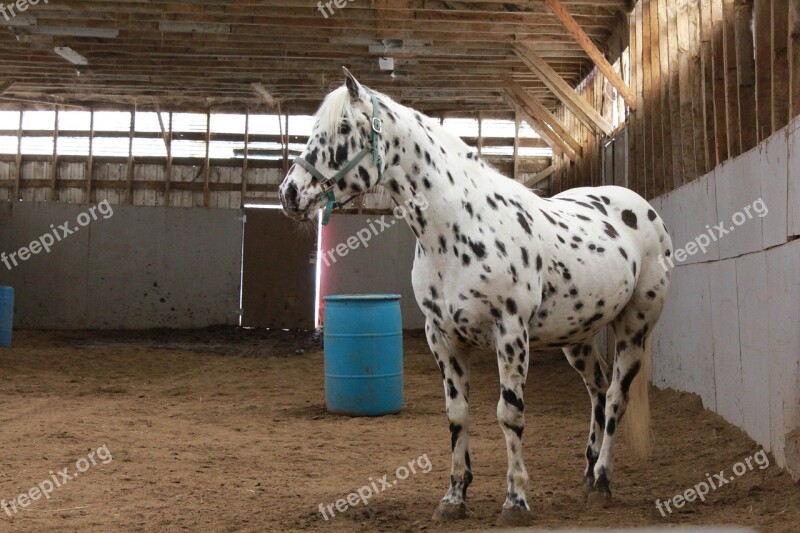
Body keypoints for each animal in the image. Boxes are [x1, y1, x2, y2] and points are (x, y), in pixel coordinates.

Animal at [278, 67, 672, 524]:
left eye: (343, 127)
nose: (290, 193)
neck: (458, 227)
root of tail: (643, 209)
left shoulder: (511, 334)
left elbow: (509, 414)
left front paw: (516, 500)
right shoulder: (442, 337)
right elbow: (457, 414)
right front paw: (454, 497)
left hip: (635, 328)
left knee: (614, 398)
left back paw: (603, 482)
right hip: (576, 336)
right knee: (597, 388)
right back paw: (589, 474)